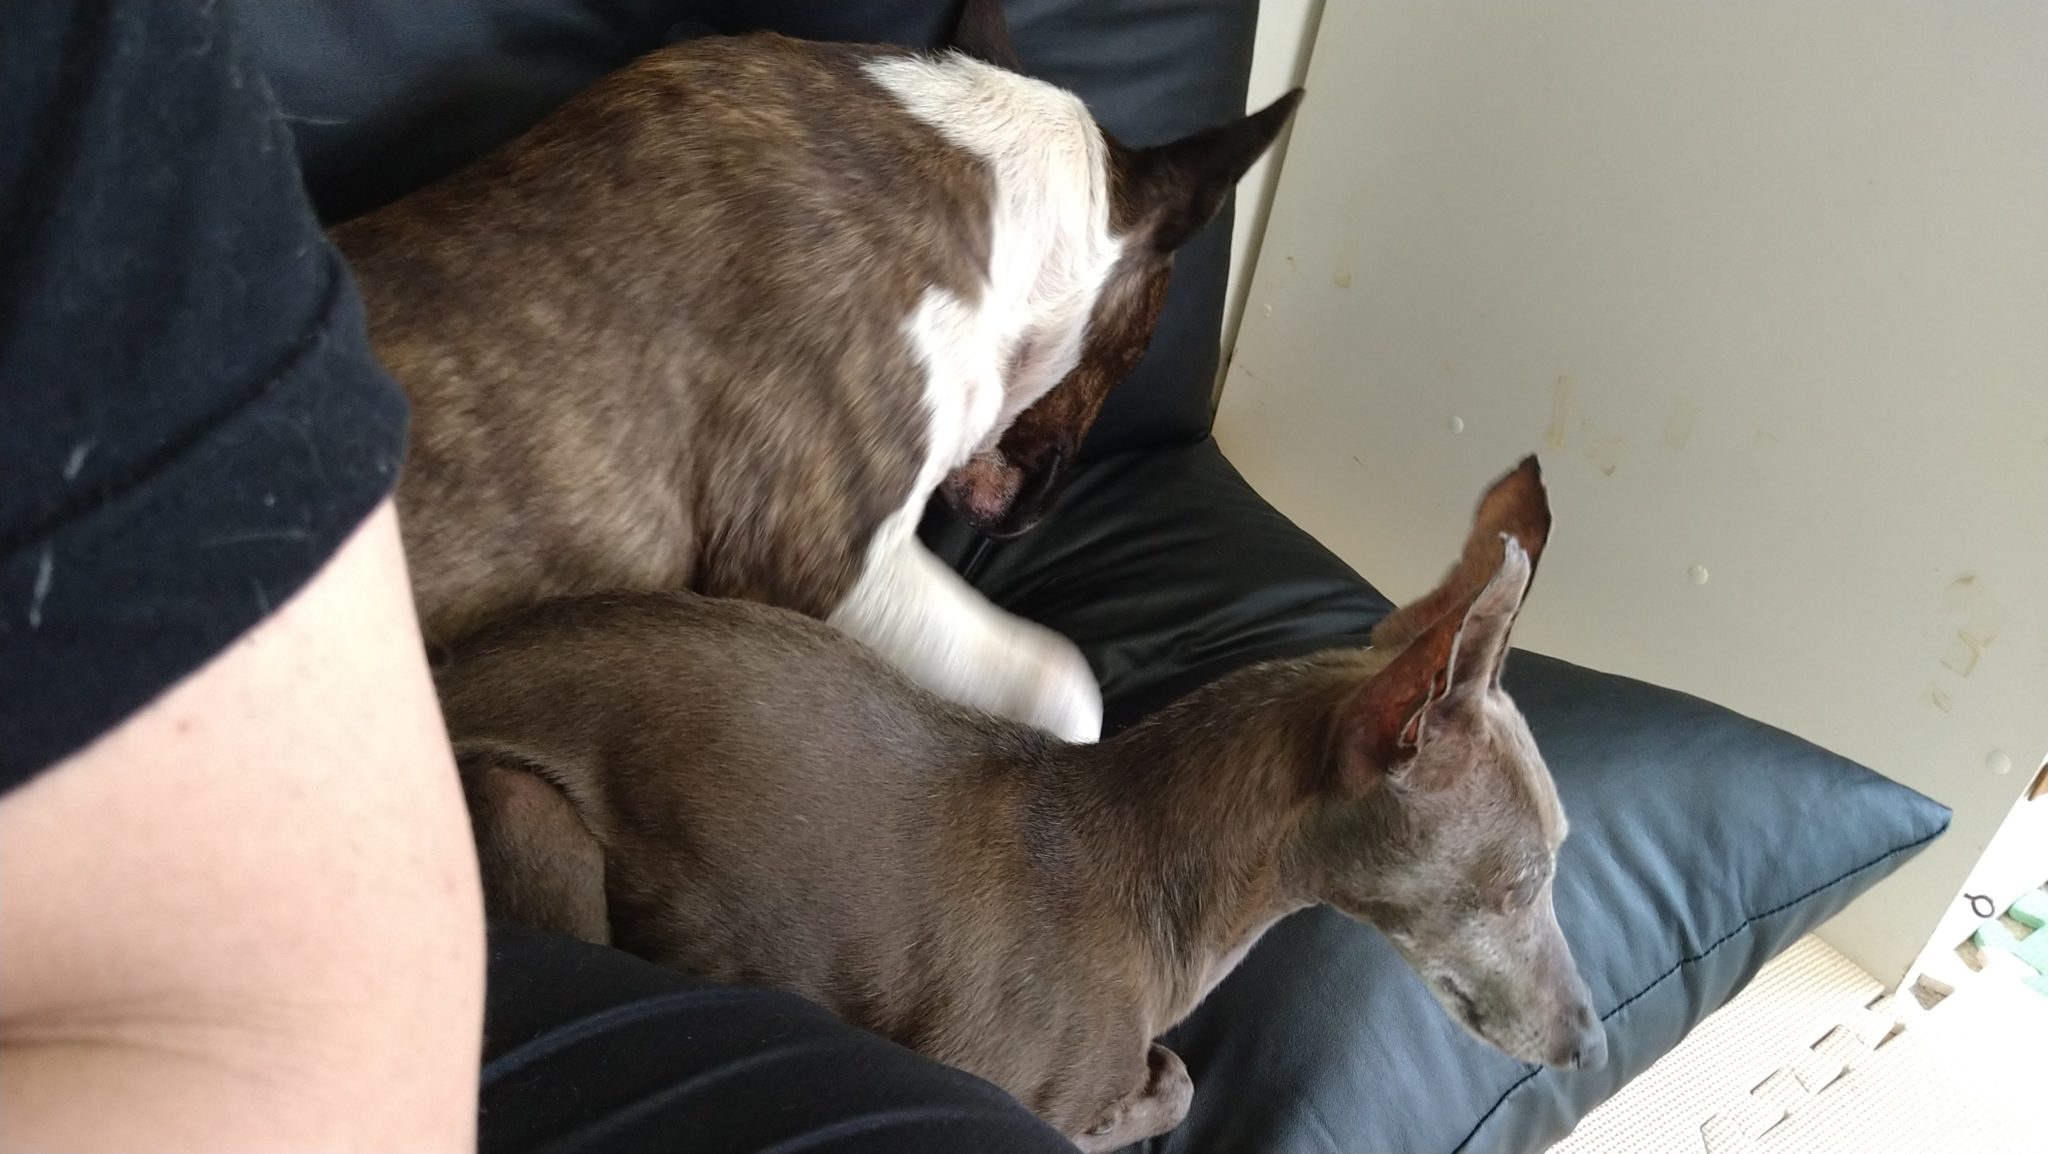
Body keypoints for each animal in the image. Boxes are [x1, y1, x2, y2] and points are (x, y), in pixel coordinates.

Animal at [435, 456, 1606, 1149]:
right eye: (1518, 885)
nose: (1590, 1046)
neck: (1148, 867)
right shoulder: (982, 1067)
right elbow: (1162, 1085)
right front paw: (1126, 1104)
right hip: (525, 808)